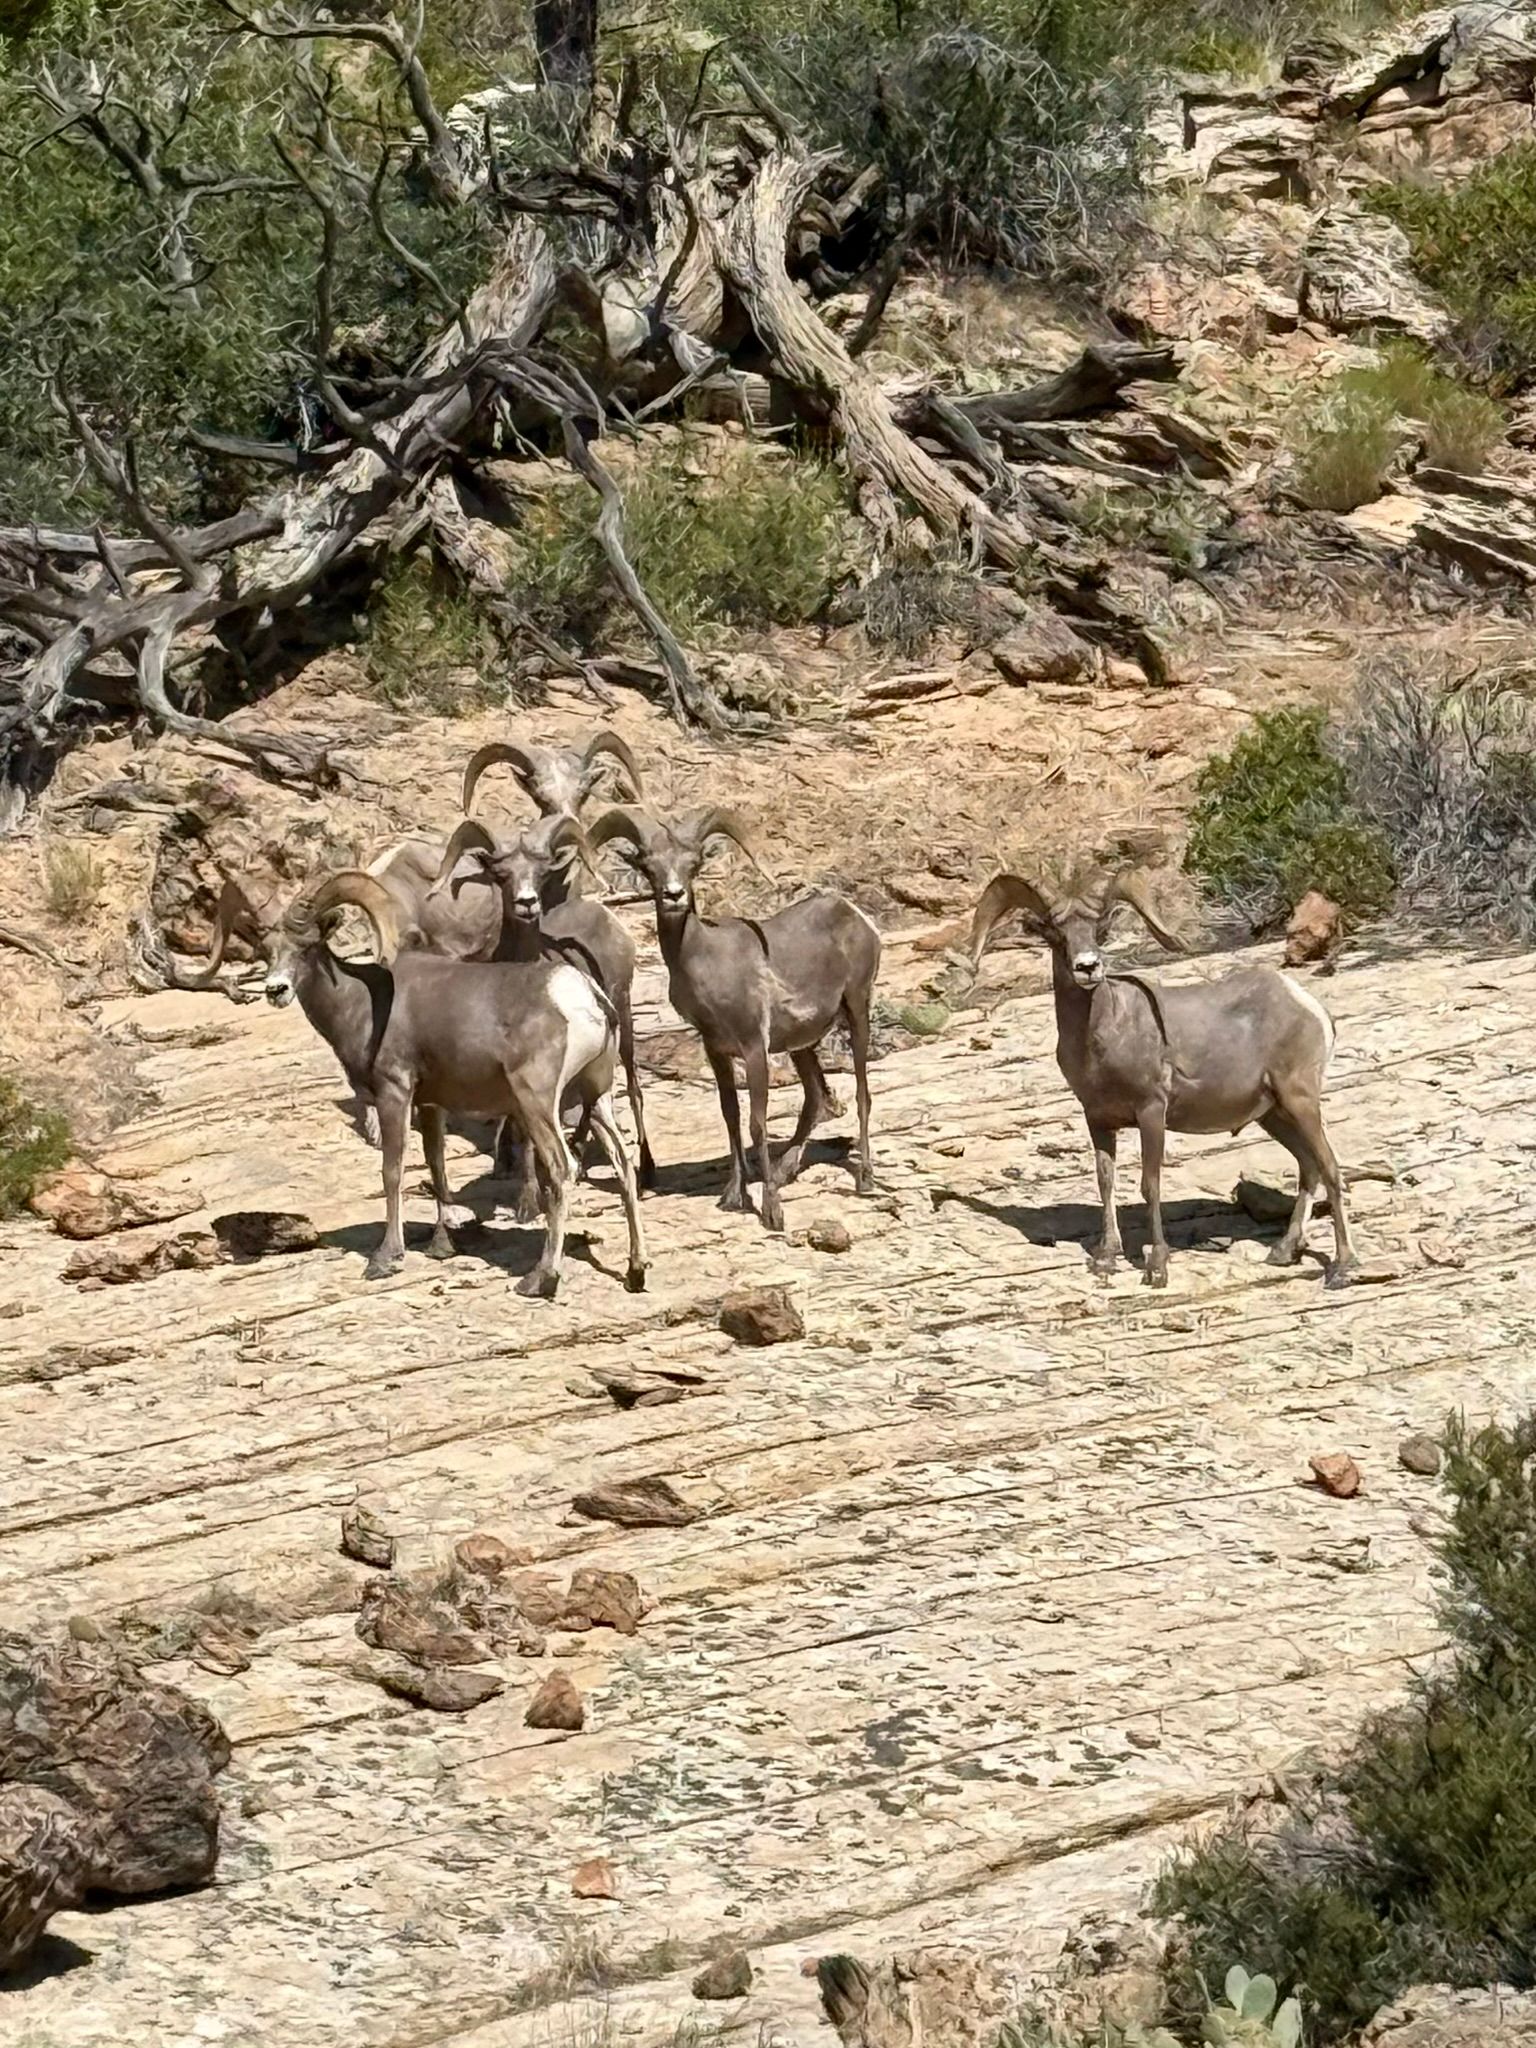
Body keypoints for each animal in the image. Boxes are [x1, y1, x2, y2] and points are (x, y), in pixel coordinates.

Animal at [262, 868, 647, 1299]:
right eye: (269, 950)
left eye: (308, 946)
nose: (276, 990)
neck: (362, 1003)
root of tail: (583, 998)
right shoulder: (431, 1104)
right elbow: (436, 1167)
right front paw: (442, 1245)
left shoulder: (395, 1093)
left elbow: (392, 1171)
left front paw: (385, 1258)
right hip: (595, 1097)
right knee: (624, 1167)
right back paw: (635, 1271)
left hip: (537, 1103)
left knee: (564, 1170)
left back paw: (540, 1278)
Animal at [430, 810, 655, 1204]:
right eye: (502, 875)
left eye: (539, 872)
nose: (527, 902)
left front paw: (533, 1197)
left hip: (622, 1026)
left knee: (632, 1091)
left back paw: (642, 1172)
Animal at [588, 805, 880, 1233]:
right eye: (649, 866)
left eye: (693, 864)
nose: (674, 895)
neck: (706, 963)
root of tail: (857, 917)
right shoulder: (717, 1052)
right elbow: (731, 1117)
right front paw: (735, 1196)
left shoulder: (754, 1048)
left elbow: (757, 1122)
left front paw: (772, 1213)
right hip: (802, 1045)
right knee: (815, 1099)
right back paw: (784, 1170)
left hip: (857, 1010)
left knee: (862, 1093)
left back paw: (865, 1179)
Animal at [968, 856, 1359, 1289]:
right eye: (1056, 933)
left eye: (1099, 929)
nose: (1088, 968)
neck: (1103, 1038)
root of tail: (1308, 1006)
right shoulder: (1098, 1120)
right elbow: (1106, 1181)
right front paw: (1106, 1257)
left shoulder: (1151, 1112)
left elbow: (1149, 1185)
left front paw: (1156, 1267)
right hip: (1273, 1115)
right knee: (1309, 1167)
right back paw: (1283, 1252)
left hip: (1299, 1099)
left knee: (1330, 1169)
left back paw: (1342, 1267)